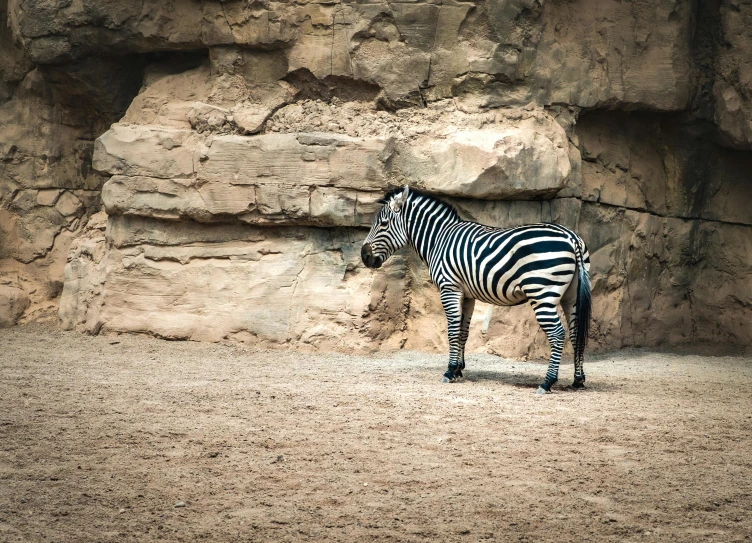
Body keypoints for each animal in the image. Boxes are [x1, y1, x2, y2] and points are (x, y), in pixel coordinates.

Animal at [362, 187, 592, 396]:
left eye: (383, 223)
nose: (364, 257)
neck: (438, 239)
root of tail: (571, 237)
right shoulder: (467, 295)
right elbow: (463, 332)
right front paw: (458, 369)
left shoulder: (449, 288)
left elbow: (452, 330)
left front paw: (449, 371)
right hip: (571, 296)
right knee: (575, 333)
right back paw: (578, 380)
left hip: (542, 293)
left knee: (558, 333)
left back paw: (547, 382)